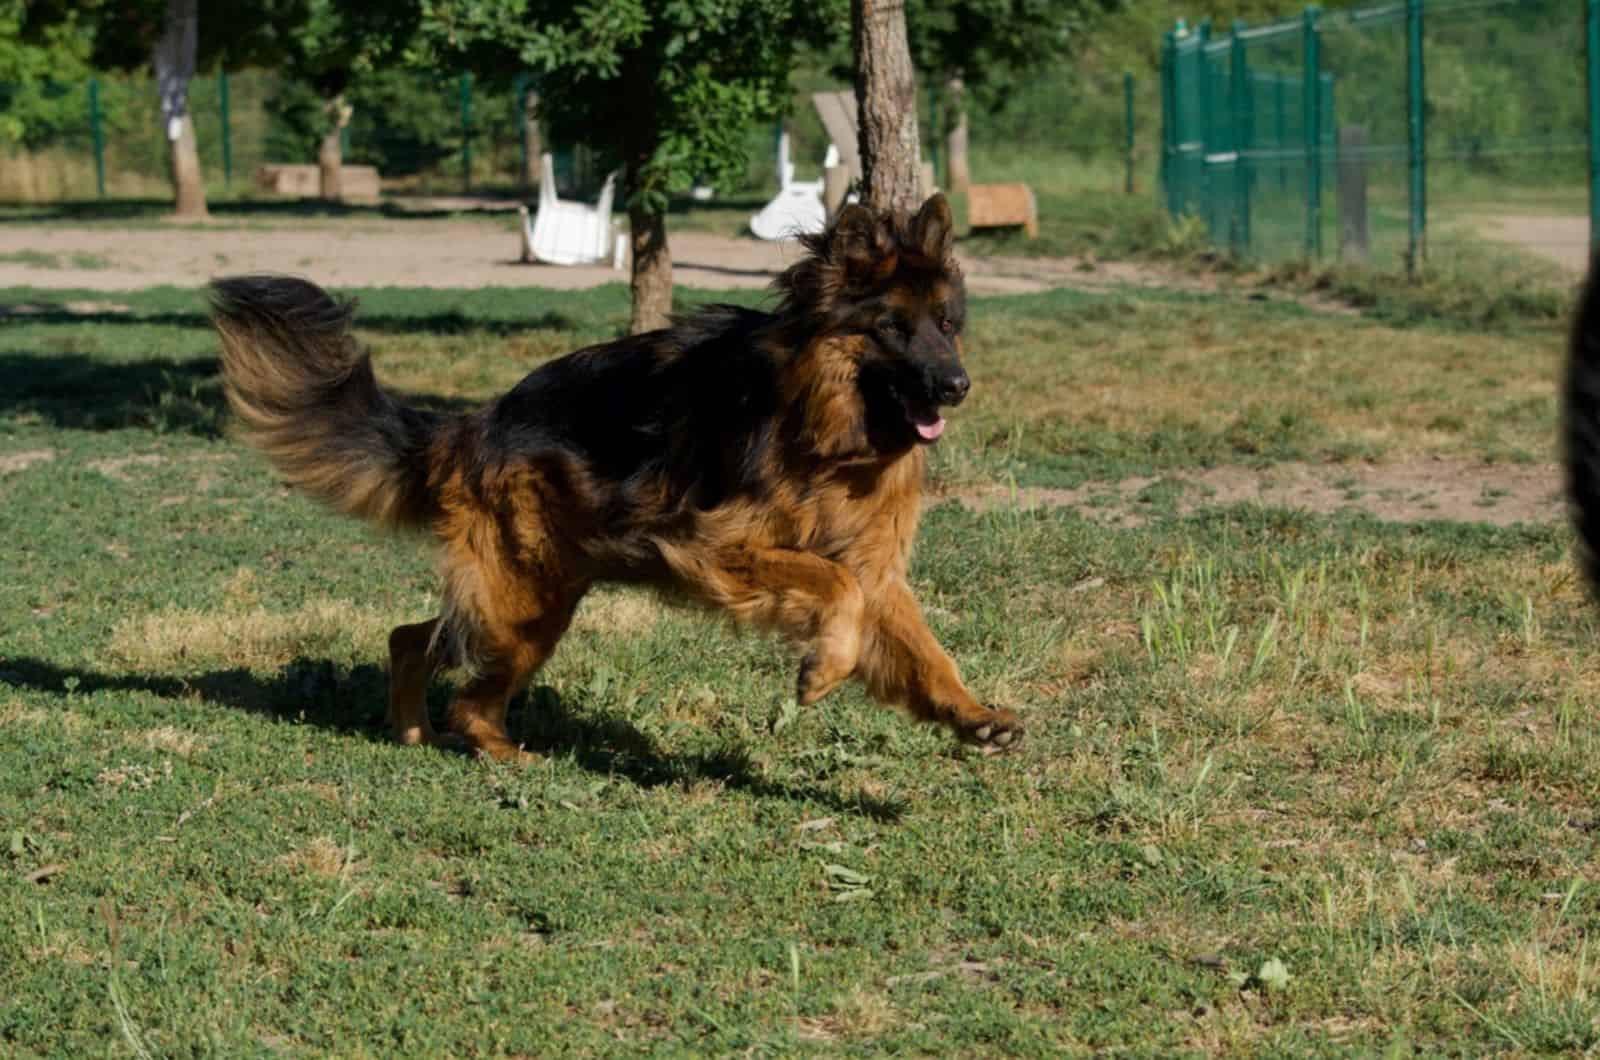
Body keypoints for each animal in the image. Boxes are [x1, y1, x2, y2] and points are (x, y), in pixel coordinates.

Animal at [212, 192, 1024, 765]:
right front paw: (822, 670)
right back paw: (501, 752)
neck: (824, 424)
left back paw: (416, 733)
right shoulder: (715, 546)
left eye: (947, 323)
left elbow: (915, 641)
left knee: (414, 638)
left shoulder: (871, 563)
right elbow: (838, 590)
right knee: (462, 686)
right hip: (525, 602)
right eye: (892, 328)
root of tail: (470, 424)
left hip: (531, 595)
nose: (957, 387)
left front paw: (970, 712)